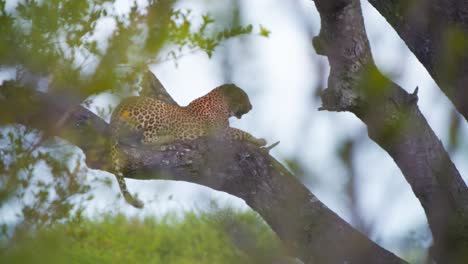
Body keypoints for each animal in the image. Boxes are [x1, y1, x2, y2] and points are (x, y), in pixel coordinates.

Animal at [107, 83, 266, 208]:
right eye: (243, 96)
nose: (251, 107)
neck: (223, 103)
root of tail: (119, 107)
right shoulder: (221, 133)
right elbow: (241, 132)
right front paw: (259, 141)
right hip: (159, 111)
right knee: (146, 139)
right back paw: (170, 140)